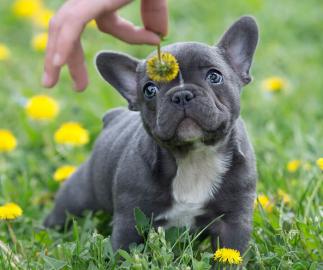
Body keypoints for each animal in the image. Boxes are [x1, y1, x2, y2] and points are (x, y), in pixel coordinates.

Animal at [45, 15, 258, 253]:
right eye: (149, 90)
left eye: (214, 76)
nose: (181, 95)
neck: (193, 157)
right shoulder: (131, 221)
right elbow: (124, 251)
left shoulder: (233, 221)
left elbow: (231, 251)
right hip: (78, 195)